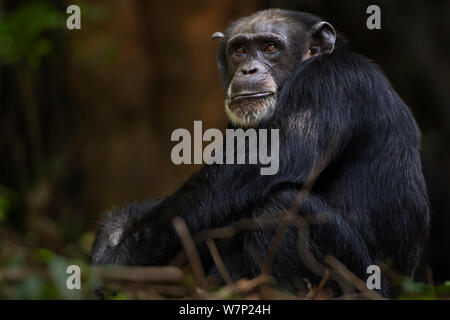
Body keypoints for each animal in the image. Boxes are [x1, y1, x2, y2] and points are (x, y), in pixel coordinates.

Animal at [90, 8, 428, 298]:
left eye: (270, 47)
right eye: (239, 50)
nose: (248, 68)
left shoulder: (327, 84)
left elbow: (242, 176)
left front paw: (119, 260)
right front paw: (113, 231)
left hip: (359, 281)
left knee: (280, 207)